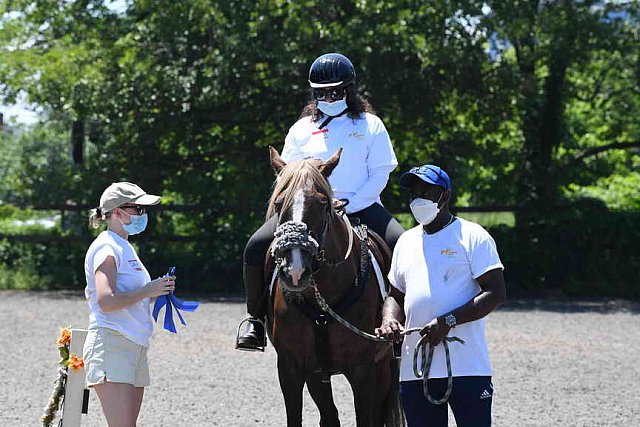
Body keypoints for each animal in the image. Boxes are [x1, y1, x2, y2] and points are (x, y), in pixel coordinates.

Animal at [262, 148, 402, 427]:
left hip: (384, 365)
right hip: (317, 374)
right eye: (280, 203)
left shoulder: (363, 371)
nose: (295, 270)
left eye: (323, 203)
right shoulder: (291, 367)